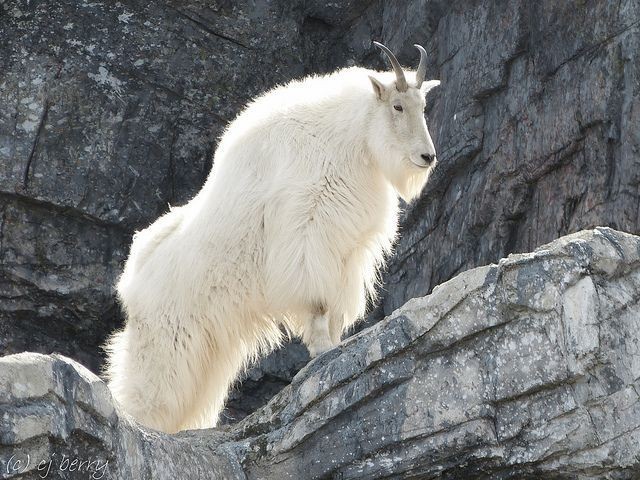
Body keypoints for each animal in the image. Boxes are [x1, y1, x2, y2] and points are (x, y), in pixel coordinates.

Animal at [105, 40, 442, 432]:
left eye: (423, 106)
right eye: (397, 105)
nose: (427, 157)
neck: (347, 140)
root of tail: (131, 281)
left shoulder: (346, 251)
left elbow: (336, 305)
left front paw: (336, 343)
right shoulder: (306, 234)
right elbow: (316, 301)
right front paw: (323, 349)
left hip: (208, 348)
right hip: (167, 339)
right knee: (148, 389)